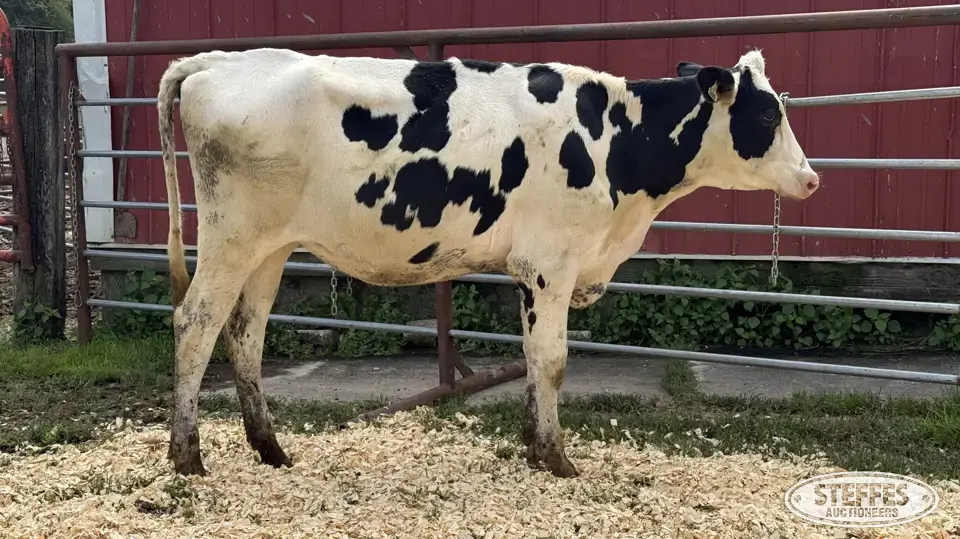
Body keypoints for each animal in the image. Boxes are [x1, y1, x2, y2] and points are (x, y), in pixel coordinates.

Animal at [156, 47, 819, 479]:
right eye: (768, 115)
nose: (811, 178)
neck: (616, 142)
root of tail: (218, 61)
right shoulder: (551, 264)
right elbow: (552, 361)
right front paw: (556, 457)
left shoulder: (533, 272)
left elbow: (531, 358)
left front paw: (532, 444)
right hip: (231, 237)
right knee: (195, 324)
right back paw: (188, 456)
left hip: (270, 247)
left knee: (244, 334)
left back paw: (270, 449)